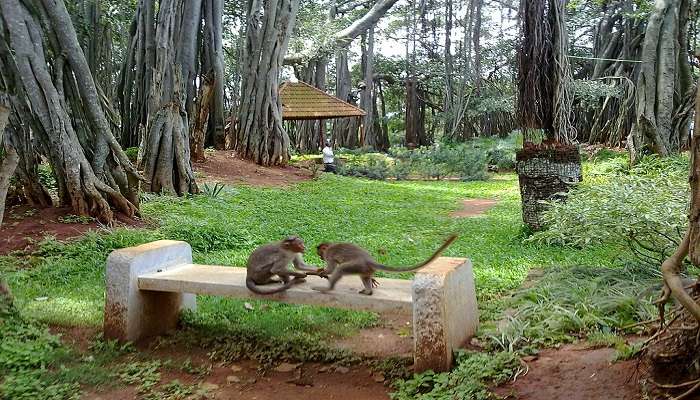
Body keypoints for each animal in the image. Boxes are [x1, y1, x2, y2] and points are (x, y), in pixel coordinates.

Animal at [314, 233, 460, 296]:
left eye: (320, 253)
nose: (320, 257)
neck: (330, 246)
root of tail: (369, 260)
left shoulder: (329, 254)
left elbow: (332, 268)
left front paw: (323, 271)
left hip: (358, 265)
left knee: (341, 269)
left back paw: (328, 289)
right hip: (365, 268)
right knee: (364, 276)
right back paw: (369, 291)